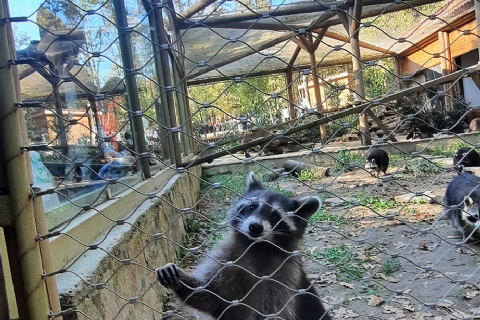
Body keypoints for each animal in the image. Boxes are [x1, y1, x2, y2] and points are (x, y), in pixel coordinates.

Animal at [156, 171, 332, 320]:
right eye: (252, 206)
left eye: (276, 216)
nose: (255, 227)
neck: (257, 247)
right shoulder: (226, 259)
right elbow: (210, 295)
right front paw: (181, 278)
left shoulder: (286, 278)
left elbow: (275, 311)